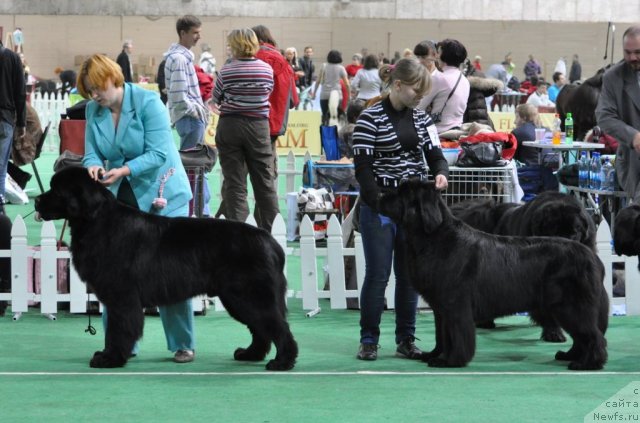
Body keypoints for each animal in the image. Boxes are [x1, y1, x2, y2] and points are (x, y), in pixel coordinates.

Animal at [33, 166, 298, 372]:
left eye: (56, 190)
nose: (36, 201)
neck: (96, 220)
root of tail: (272, 243)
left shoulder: (122, 296)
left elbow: (119, 328)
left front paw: (110, 358)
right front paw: (109, 355)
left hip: (249, 295)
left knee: (277, 326)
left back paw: (282, 362)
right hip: (237, 298)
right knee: (261, 329)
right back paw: (250, 354)